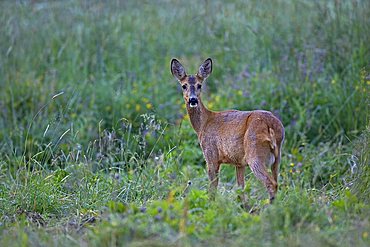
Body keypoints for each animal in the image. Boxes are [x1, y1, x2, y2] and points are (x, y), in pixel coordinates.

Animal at [171, 57, 286, 206]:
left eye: (199, 85)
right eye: (184, 85)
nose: (193, 100)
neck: (203, 123)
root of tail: (270, 125)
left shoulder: (211, 155)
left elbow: (213, 187)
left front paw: (210, 206)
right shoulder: (239, 162)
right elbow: (240, 189)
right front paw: (244, 207)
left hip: (254, 153)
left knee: (271, 183)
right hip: (277, 156)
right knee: (277, 182)